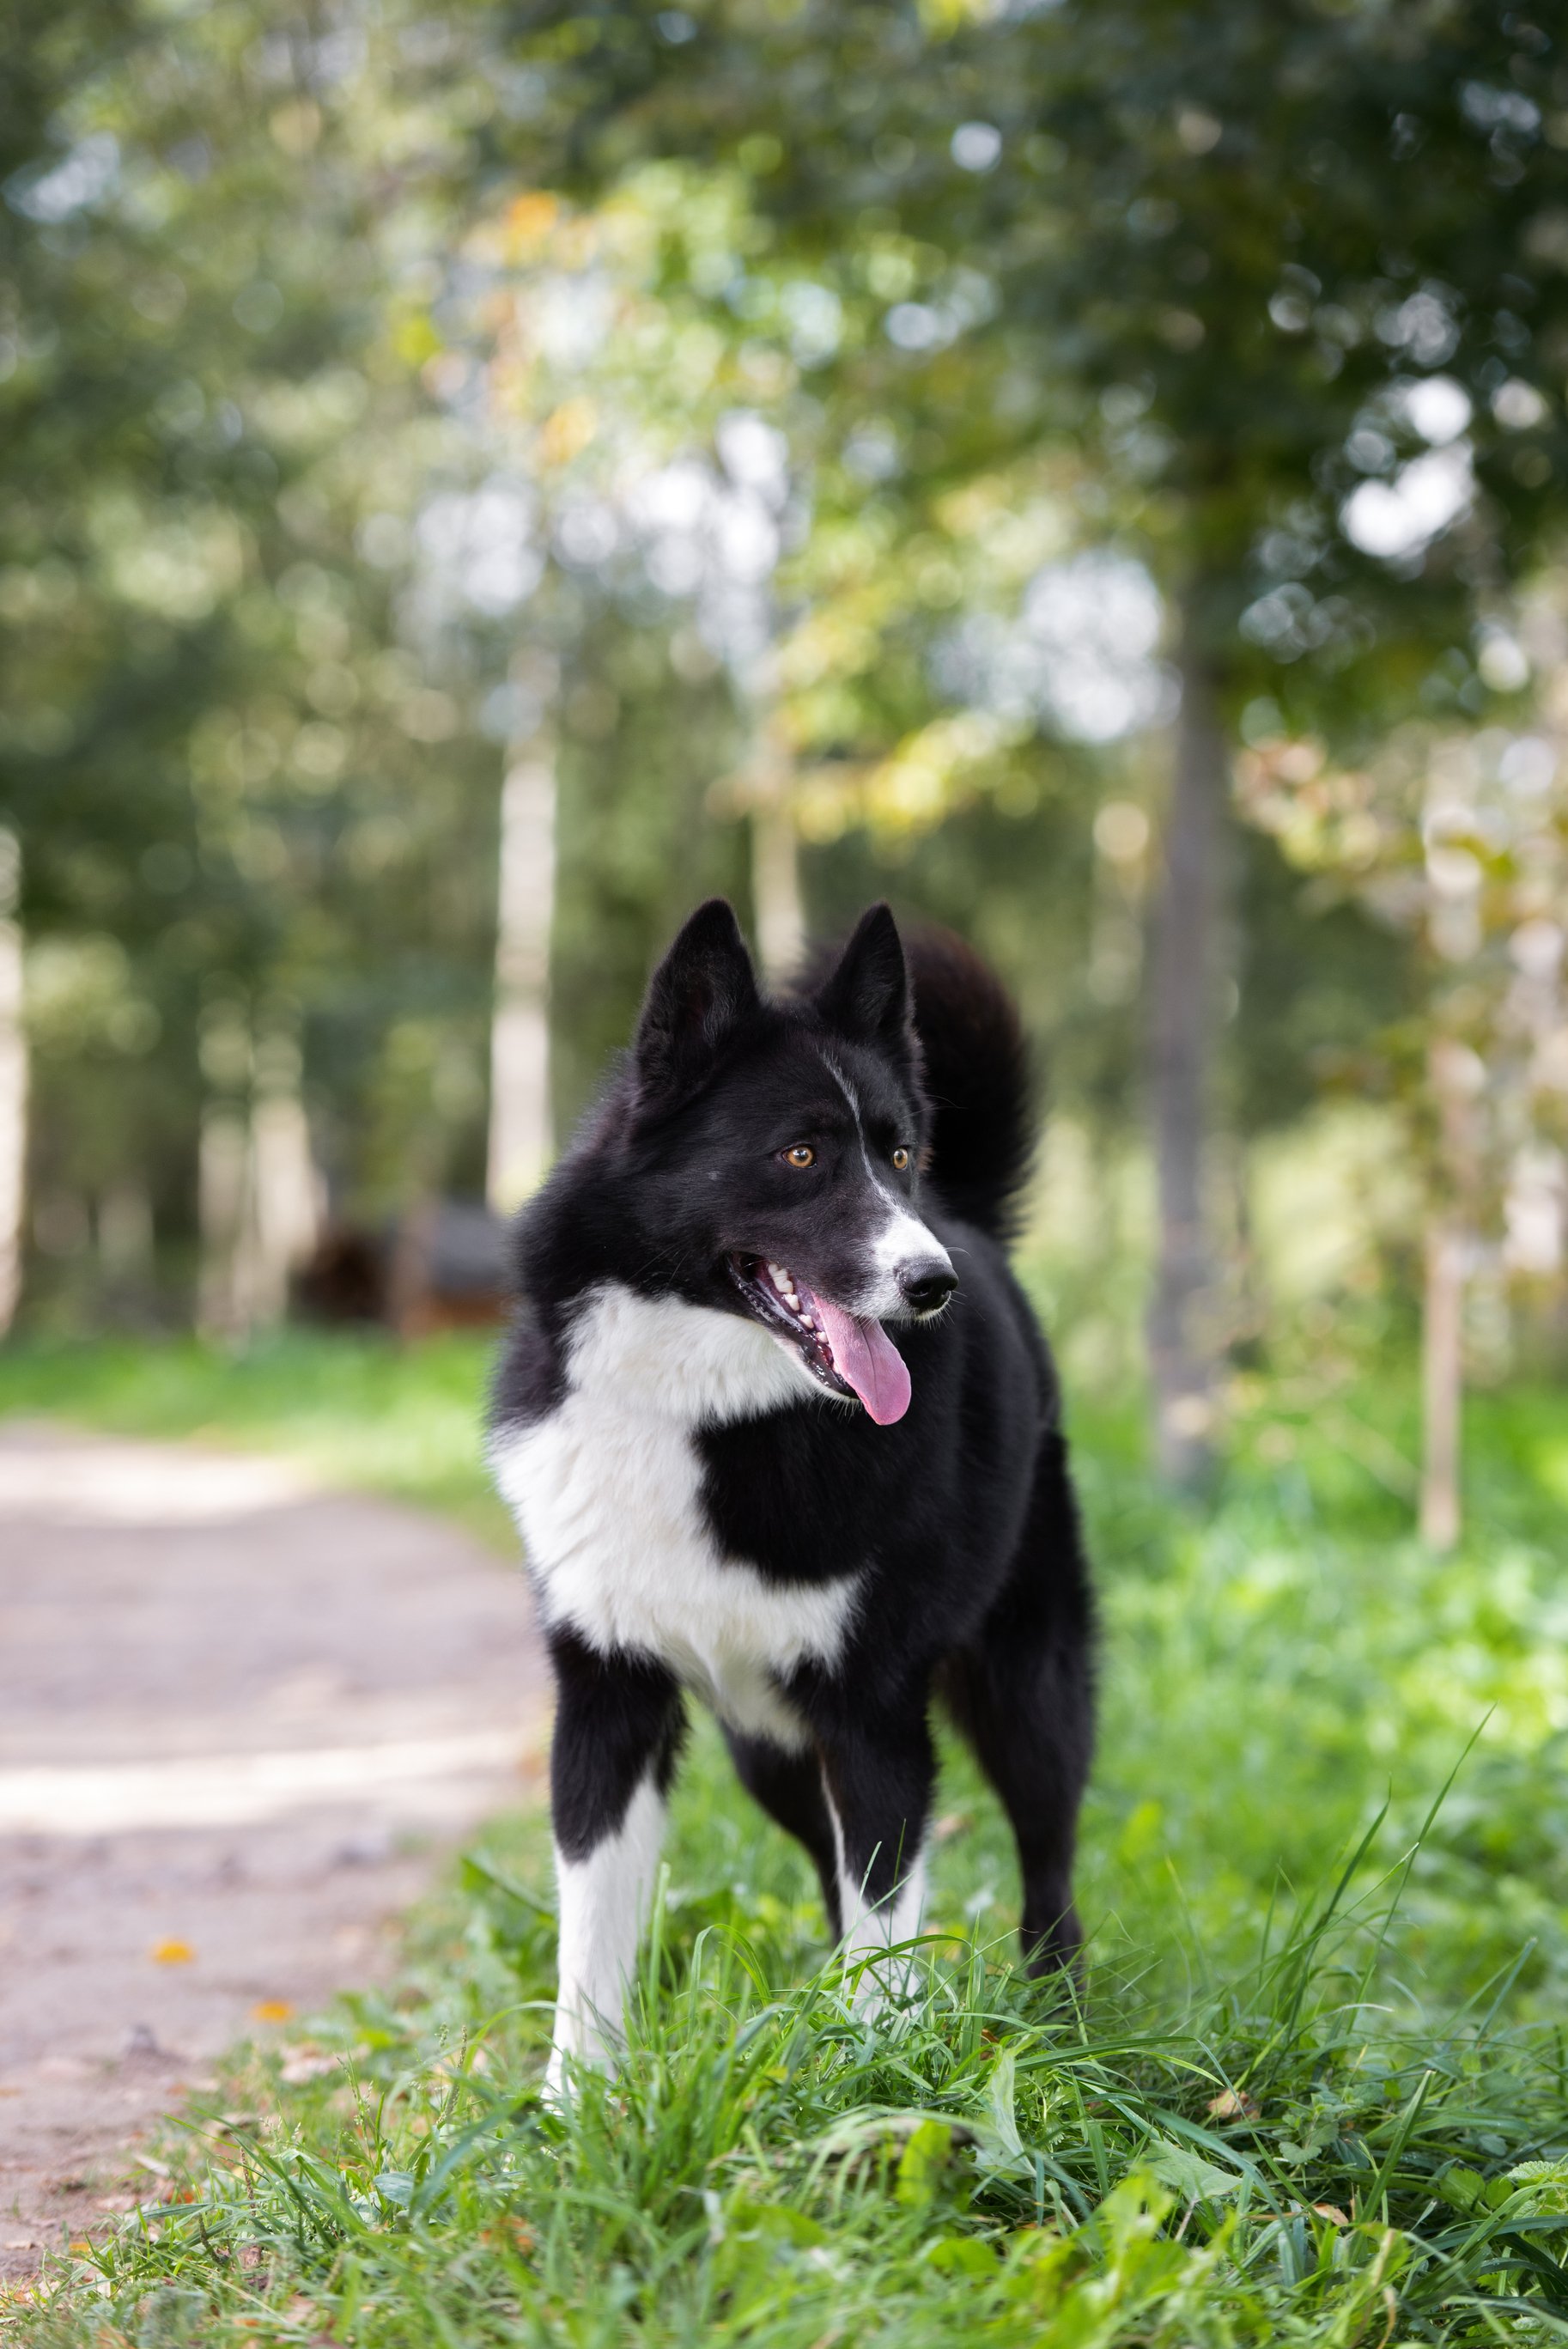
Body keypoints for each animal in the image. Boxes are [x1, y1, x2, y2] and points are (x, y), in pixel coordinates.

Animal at [490, 897, 1089, 2095]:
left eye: (895, 1153)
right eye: (801, 1151)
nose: (931, 1283)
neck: (704, 1418)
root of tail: (974, 1223)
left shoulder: (873, 1708)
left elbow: (886, 1913)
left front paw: (878, 2082)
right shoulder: (608, 1695)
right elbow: (592, 1927)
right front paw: (575, 2105)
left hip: (1026, 1685)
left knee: (1046, 1861)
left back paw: (1059, 2018)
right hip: (764, 1745)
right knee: (827, 1863)